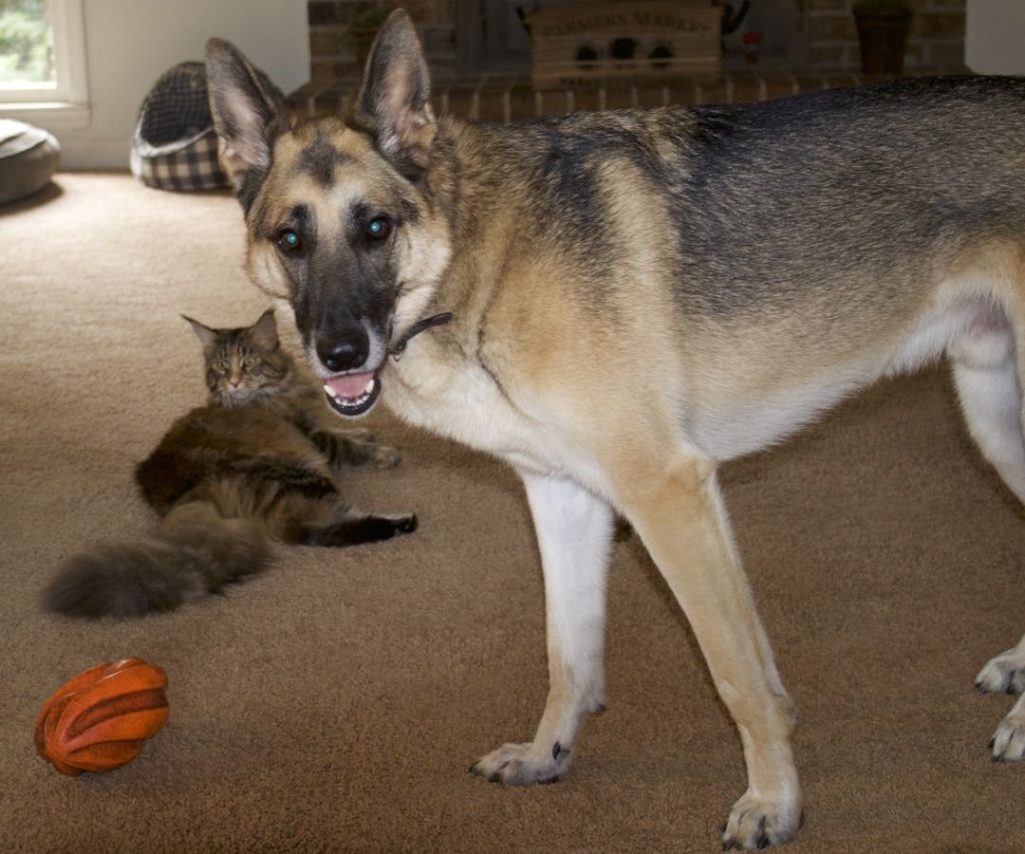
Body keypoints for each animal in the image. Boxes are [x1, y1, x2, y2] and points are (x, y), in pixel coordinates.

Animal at [44, 309, 412, 615]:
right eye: (222, 368)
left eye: (248, 364)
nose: (234, 381)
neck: (274, 393)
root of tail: (190, 493)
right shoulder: (310, 437)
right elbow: (346, 444)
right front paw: (382, 451)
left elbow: (342, 429)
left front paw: (365, 432)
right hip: (294, 471)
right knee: (310, 527)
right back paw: (401, 521)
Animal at [206, 11, 1025, 844]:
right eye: (290, 239)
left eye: (374, 227)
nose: (338, 352)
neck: (477, 259)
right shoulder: (566, 497)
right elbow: (570, 653)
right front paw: (547, 753)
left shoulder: (666, 493)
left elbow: (733, 674)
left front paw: (773, 799)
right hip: (995, 419)